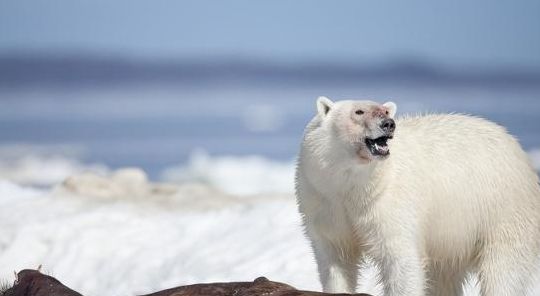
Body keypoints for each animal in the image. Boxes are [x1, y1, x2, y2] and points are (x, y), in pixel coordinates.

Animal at [296, 97, 540, 296]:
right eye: (358, 111)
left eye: (386, 111)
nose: (388, 124)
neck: (353, 187)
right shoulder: (324, 201)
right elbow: (336, 259)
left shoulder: (389, 204)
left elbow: (400, 260)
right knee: (445, 276)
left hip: (502, 212)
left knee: (503, 269)